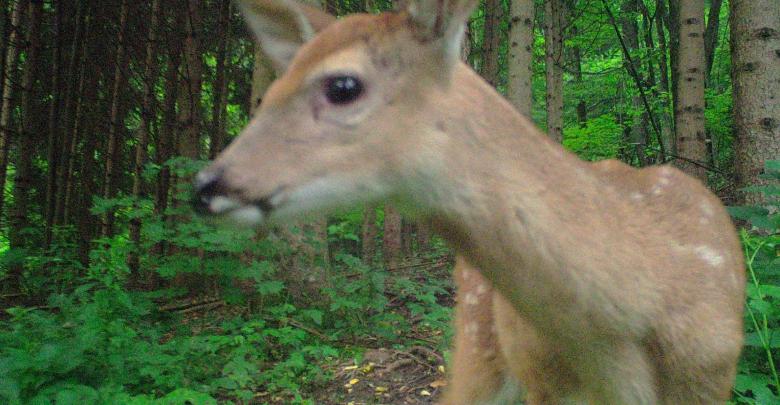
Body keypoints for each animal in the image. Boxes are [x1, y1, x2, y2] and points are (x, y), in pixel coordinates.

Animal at [192, 0, 745, 403]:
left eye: (343, 84)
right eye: (272, 87)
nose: (206, 185)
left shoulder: (714, 377)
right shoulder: (545, 382)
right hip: (479, 340)